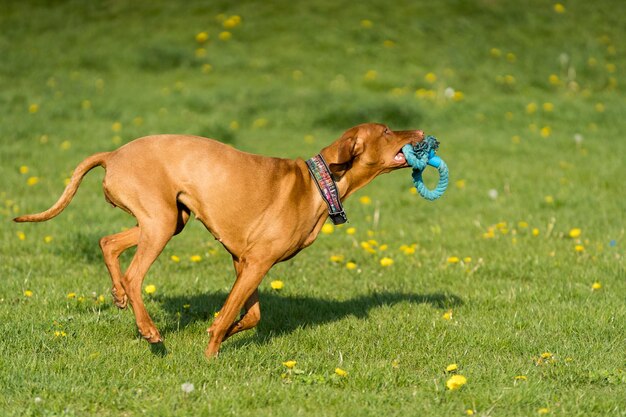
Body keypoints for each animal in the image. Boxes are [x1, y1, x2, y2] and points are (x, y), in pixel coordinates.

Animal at [15, 122, 424, 356]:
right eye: (387, 132)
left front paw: (223, 334)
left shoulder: (246, 261)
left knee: (107, 243)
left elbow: (251, 314)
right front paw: (211, 352)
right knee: (134, 275)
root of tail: (113, 153)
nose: (422, 134)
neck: (318, 184)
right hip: (161, 223)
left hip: (168, 219)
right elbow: (231, 311)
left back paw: (117, 295)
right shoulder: (257, 262)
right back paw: (149, 330)